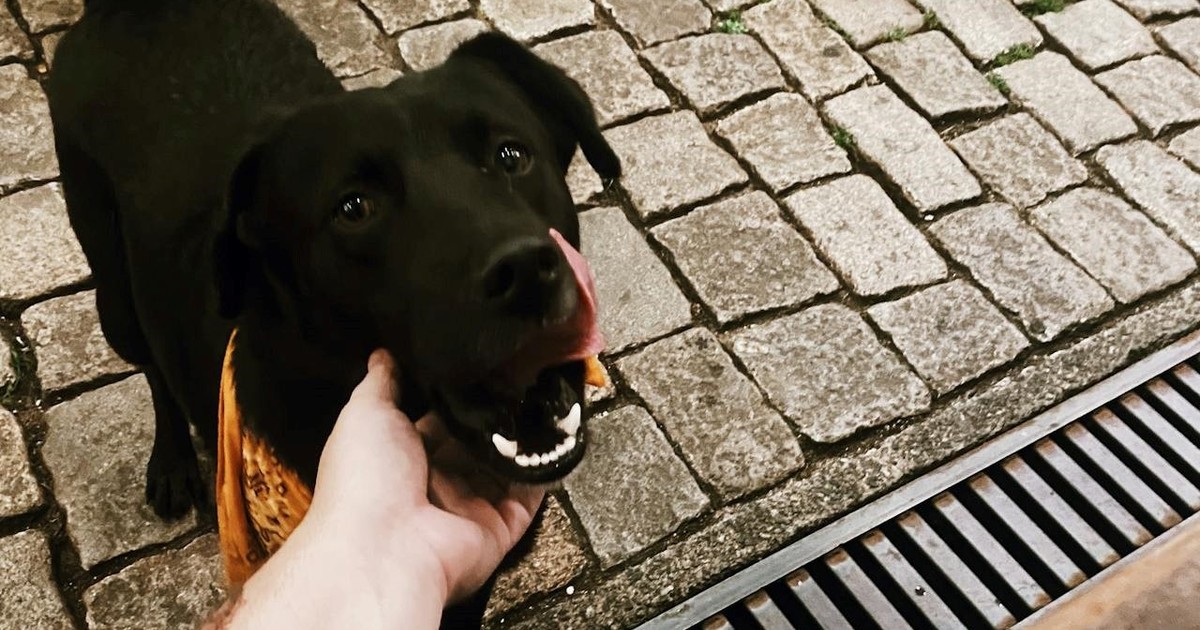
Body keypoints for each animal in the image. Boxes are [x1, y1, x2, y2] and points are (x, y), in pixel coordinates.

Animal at [45, 0, 619, 625]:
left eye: (511, 155)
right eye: (354, 208)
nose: (524, 274)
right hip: (114, 298)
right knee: (151, 367)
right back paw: (171, 463)